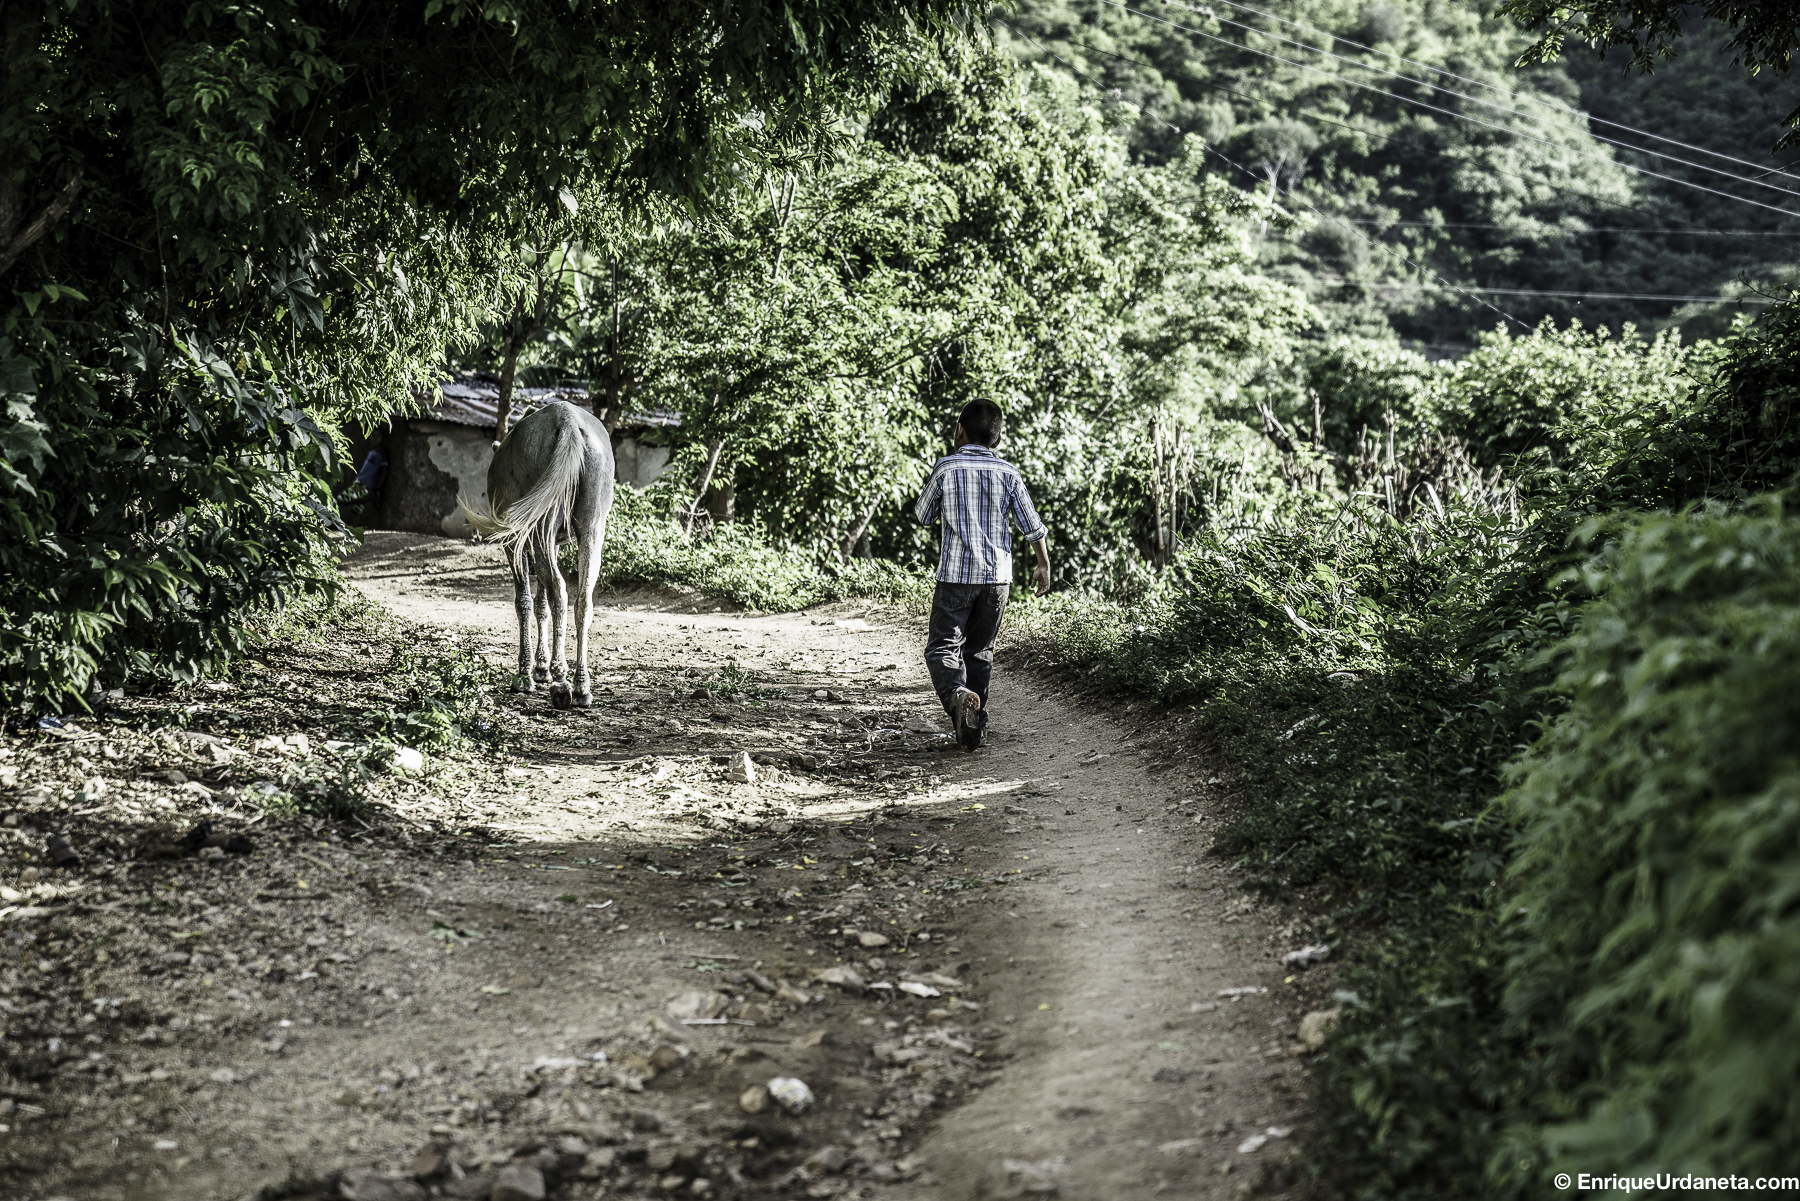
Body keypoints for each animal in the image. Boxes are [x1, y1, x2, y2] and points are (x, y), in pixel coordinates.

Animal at [464, 399, 619, 709]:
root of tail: (568, 421)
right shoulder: (554, 542)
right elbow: (541, 603)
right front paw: (540, 666)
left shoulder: (514, 542)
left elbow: (524, 601)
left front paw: (526, 673)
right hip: (592, 528)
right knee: (583, 599)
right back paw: (581, 684)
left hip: (538, 529)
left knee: (559, 589)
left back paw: (561, 678)